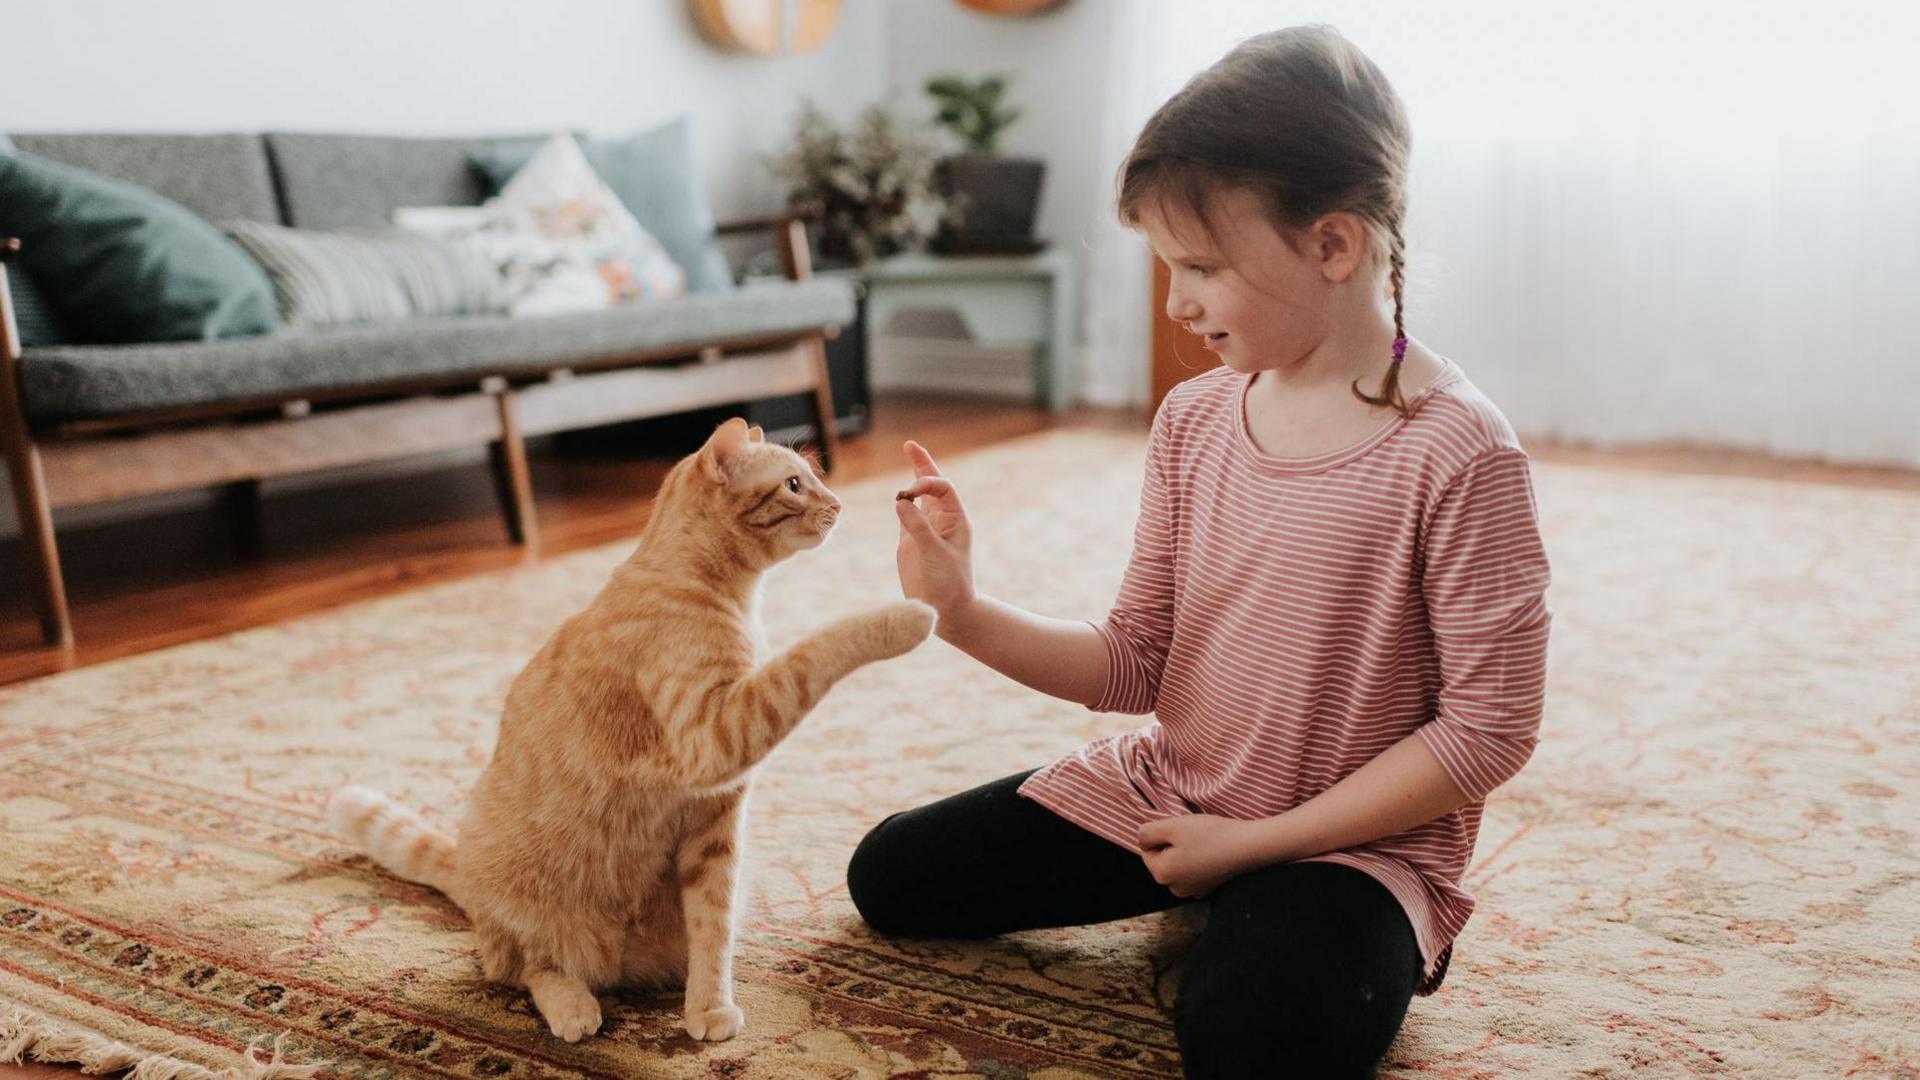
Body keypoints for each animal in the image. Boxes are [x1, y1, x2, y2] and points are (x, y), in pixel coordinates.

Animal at [324, 417, 936, 1037]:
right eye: (794, 484)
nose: (838, 504)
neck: (717, 588)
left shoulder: (718, 822)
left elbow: (713, 925)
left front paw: (707, 1005)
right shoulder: (716, 736)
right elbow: (813, 652)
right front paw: (906, 616)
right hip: (517, 904)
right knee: (527, 966)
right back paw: (572, 1006)